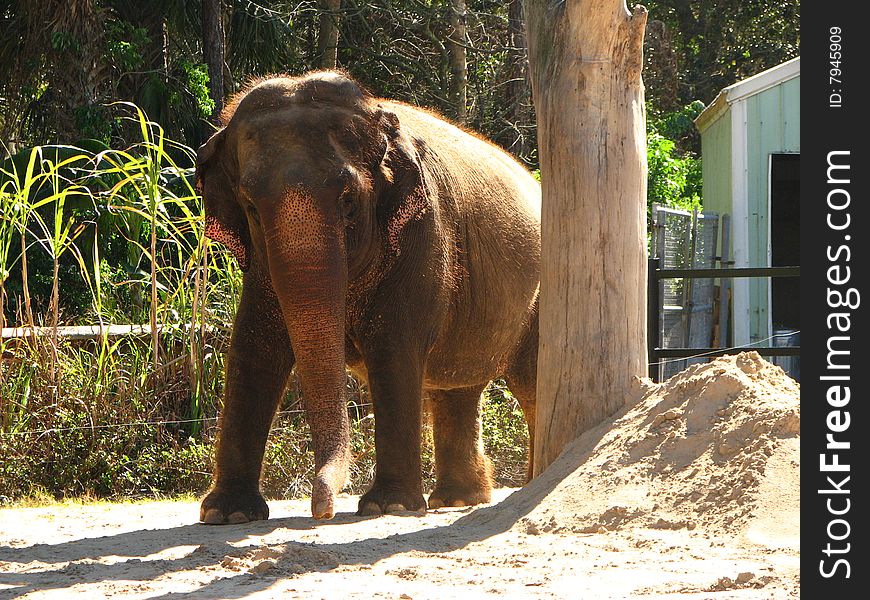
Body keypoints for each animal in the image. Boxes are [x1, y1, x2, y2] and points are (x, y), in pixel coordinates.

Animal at [194, 68, 540, 524]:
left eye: (348, 202)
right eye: (250, 206)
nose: (322, 511)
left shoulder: (424, 234)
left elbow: (393, 348)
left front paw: (389, 507)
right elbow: (254, 349)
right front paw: (227, 515)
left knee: (531, 385)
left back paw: (535, 481)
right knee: (456, 389)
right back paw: (457, 500)